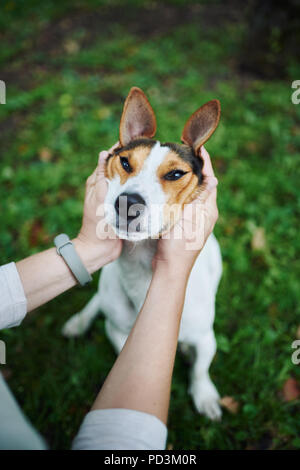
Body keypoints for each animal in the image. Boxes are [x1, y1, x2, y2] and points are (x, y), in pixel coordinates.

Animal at [62, 86, 223, 420]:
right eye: (124, 162)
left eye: (175, 174)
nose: (127, 202)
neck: (141, 271)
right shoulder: (118, 333)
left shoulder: (206, 338)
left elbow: (200, 369)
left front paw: (204, 395)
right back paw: (79, 322)